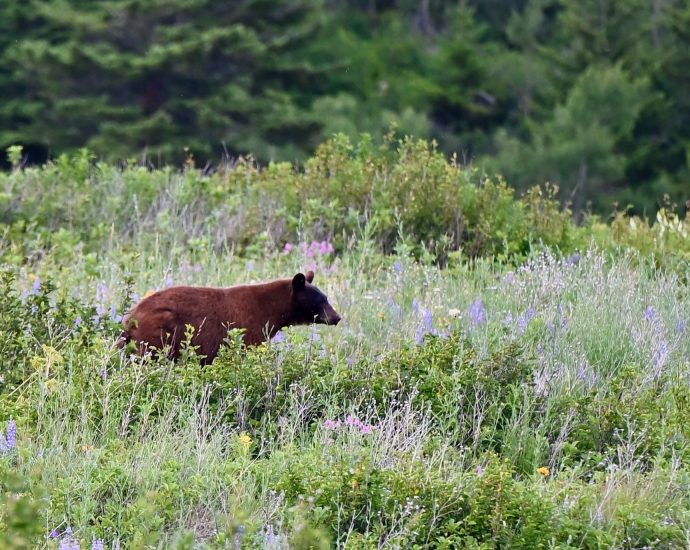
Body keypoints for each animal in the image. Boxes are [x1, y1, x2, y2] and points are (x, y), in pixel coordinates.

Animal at [119, 270, 341, 364]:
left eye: (326, 298)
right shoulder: (249, 329)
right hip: (157, 334)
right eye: (320, 301)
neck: (272, 309)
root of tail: (130, 319)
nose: (337, 317)